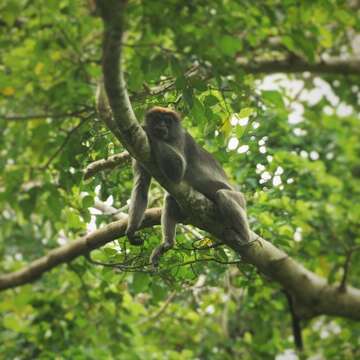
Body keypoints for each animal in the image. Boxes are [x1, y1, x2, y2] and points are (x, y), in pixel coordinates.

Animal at [126, 107, 250, 268]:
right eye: (158, 119)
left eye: (167, 121)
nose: (162, 126)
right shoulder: (139, 149)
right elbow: (141, 185)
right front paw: (131, 231)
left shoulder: (181, 138)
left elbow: (178, 171)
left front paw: (147, 130)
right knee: (170, 198)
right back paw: (167, 244)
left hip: (240, 200)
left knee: (222, 195)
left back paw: (244, 237)